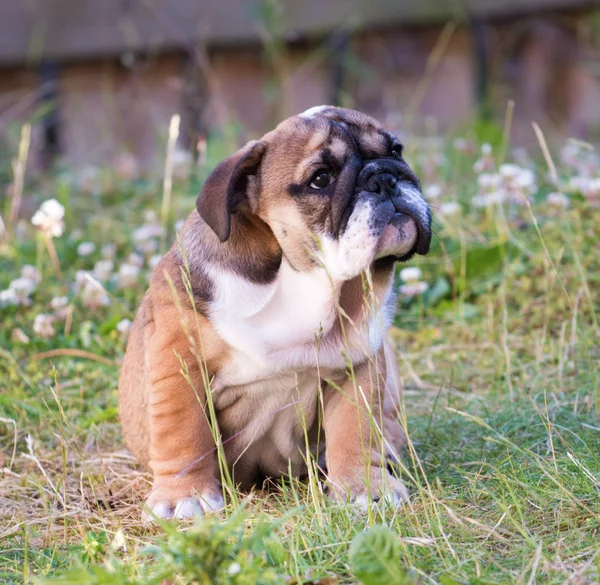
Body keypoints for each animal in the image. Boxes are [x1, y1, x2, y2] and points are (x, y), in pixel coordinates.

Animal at [117, 106, 428, 520]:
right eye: (321, 179)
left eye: (396, 150)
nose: (384, 177)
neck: (306, 279)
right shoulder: (177, 362)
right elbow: (183, 431)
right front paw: (185, 495)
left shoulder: (359, 364)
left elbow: (355, 428)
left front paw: (365, 487)